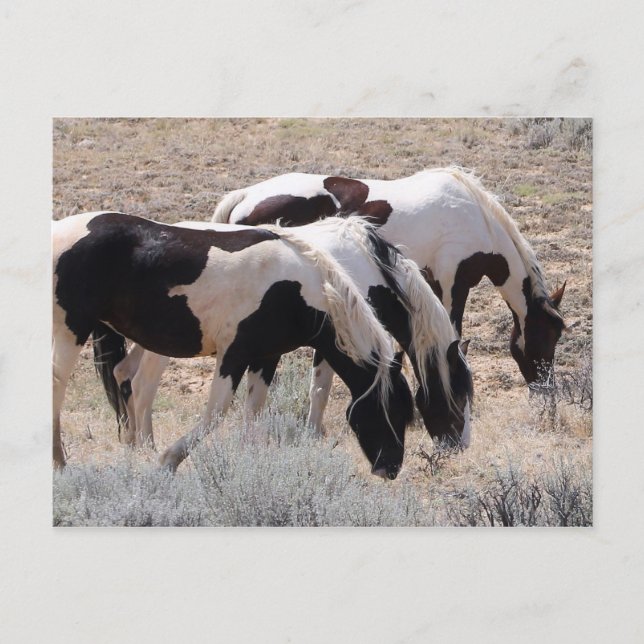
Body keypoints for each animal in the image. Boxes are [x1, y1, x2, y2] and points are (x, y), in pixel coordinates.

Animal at [52, 212, 415, 478]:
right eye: (391, 411)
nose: (391, 468)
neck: (295, 290)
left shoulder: (265, 356)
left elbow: (251, 411)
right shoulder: (234, 355)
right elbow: (216, 413)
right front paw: (169, 460)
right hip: (71, 329)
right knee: (60, 386)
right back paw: (60, 462)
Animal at [109, 217, 473, 453]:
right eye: (458, 396)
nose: (459, 445)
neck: (365, 263)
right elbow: (320, 389)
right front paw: (313, 436)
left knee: (123, 373)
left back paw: (131, 443)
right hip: (162, 348)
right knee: (143, 385)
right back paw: (146, 446)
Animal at [212, 167, 568, 386]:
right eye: (548, 338)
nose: (544, 388)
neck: (474, 215)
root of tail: (245, 195)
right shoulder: (453, 284)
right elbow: (453, 336)